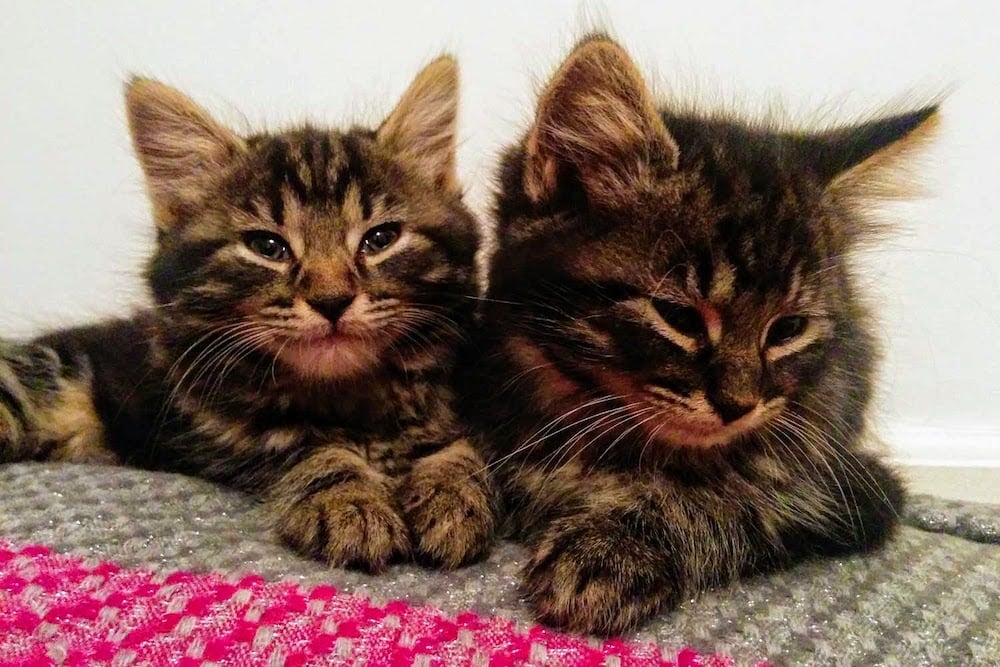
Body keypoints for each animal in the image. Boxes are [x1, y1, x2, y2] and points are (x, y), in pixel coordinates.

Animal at [0, 56, 496, 576]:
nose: (332, 300)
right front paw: (351, 502)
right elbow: (311, 451)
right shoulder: (219, 430)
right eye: (267, 247)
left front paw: (453, 494)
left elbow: (460, 448)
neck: (350, 399)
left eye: (380, 239)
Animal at [464, 36, 940, 636]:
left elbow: (731, 500)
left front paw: (611, 552)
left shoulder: (851, 485)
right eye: (679, 317)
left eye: (788, 328)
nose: (739, 405)